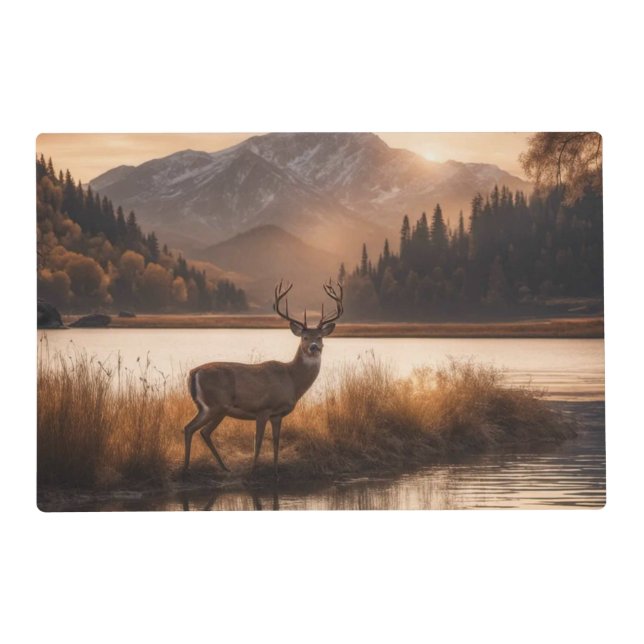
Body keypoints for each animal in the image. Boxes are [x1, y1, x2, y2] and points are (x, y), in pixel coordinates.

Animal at [182, 279, 343, 476]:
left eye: (320, 337)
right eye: (304, 337)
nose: (314, 347)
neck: (292, 380)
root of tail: (194, 372)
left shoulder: (277, 414)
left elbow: (276, 441)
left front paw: (276, 471)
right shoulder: (263, 408)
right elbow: (258, 441)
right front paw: (253, 470)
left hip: (211, 408)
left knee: (198, 430)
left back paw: (217, 467)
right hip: (216, 405)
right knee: (194, 429)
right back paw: (190, 468)